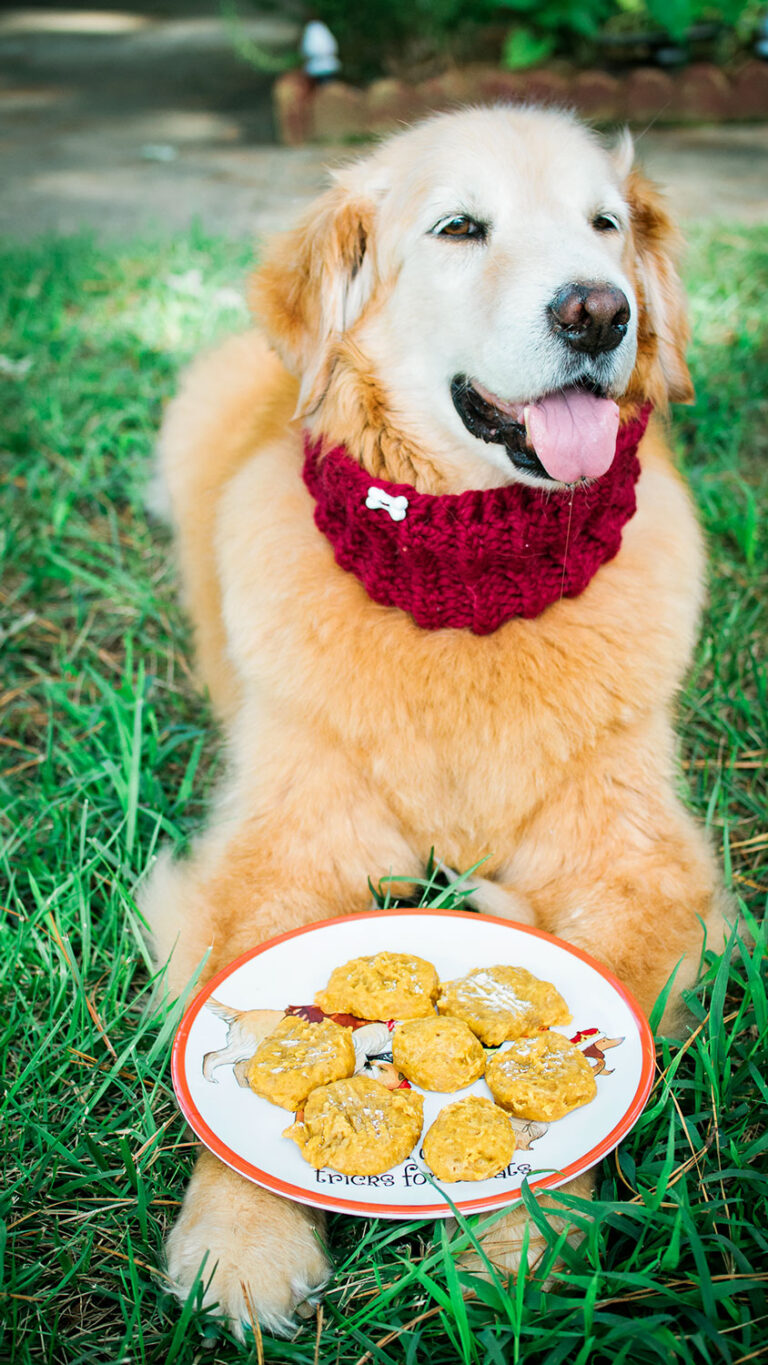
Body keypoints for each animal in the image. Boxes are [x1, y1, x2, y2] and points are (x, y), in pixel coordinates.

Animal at [139, 103, 731, 1332]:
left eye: (605, 225)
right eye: (461, 228)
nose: (599, 309)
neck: (471, 589)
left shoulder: (642, 864)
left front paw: (518, 1235)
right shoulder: (284, 841)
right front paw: (244, 1235)